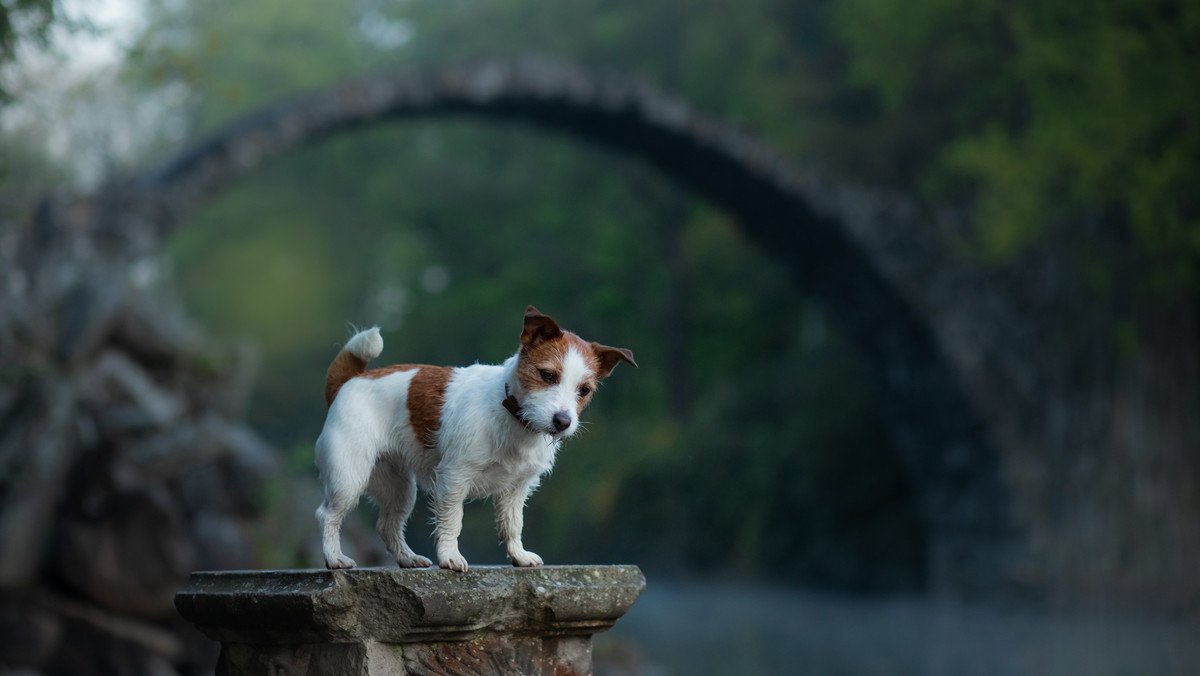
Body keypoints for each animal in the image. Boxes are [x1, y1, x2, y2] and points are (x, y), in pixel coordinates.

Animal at [316, 304, 638, 571]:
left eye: (584, 390)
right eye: (548, 375)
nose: (563, 422)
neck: (511, 413)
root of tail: (351, 380)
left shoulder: (516, 489)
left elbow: (512, 525)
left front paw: (518, 555)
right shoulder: (453, 478)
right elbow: (452, 521)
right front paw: (449, 556)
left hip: (400, 488)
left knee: (387, 525)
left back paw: (408, 558)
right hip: (349, 477)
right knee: (328, 515)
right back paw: (335, 558)